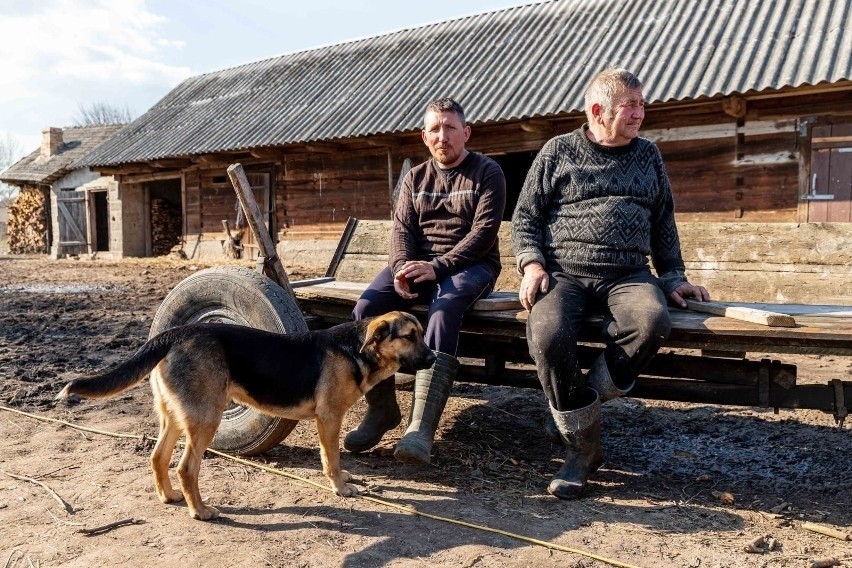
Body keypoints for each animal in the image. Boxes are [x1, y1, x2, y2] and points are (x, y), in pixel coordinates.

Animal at [56, 310, 436, 520]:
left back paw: (169, 497)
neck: (356, 349)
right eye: (410, 336)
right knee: (185, 468)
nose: (434, 358)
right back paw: (201, 512)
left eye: (422, 334)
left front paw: (345, 481)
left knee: (157, 458)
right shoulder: (328, 418)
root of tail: (176, 333)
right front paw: (340, 487)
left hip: (176, 417)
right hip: (206, 419)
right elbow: (332, 459)